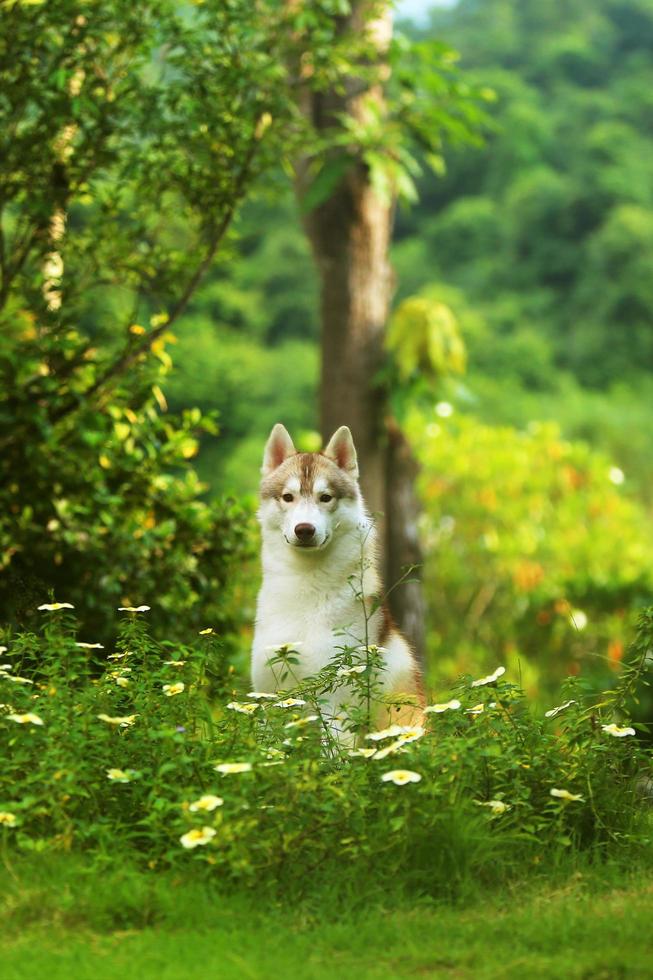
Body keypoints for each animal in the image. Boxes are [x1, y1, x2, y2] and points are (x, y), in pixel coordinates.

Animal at [248, 422, 422, 744]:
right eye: (288, 497)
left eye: (325, 497)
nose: (304, 530)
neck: (305, 590)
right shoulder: (270, 699)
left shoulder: (336, 708)